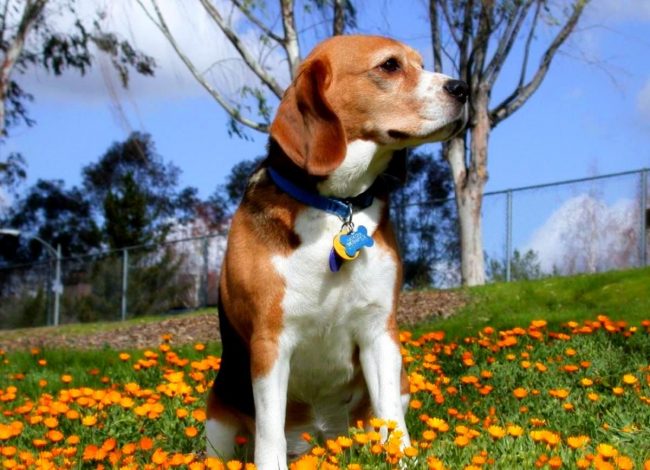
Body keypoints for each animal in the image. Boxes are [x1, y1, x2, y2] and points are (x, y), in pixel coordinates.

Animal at [205, 35, 464, 468]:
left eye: (420, 63)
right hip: (217, 418)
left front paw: (402, 458)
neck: (336, 207)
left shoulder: (379, 331)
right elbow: (270, 433)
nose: (463, 89)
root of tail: (322, 438)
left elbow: (394, 423)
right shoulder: (270, 342)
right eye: (390, 65)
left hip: (401, 378)